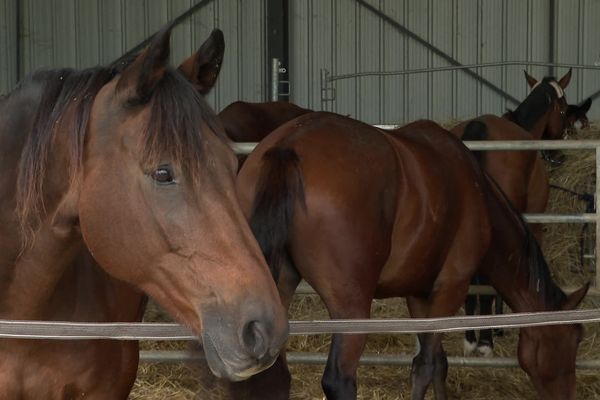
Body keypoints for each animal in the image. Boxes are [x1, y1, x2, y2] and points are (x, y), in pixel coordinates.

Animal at [237, 112, 588, 400]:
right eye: (575, 339)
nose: (568, 395)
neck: (476, 192)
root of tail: (288, 145)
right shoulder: (451, 288)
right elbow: (426, 365)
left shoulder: (419, 296)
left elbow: (438, 364)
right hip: (351, 308)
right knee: (339, 381)